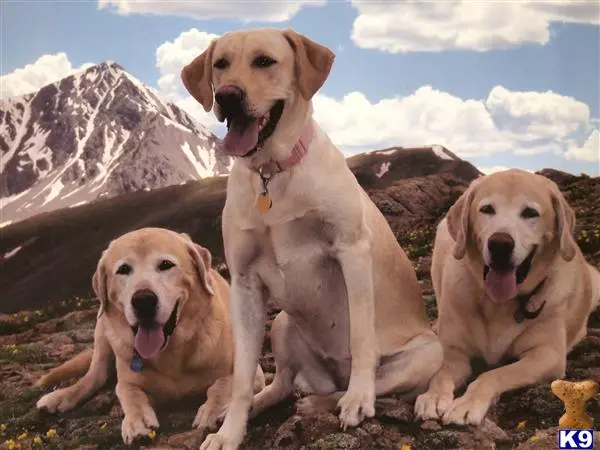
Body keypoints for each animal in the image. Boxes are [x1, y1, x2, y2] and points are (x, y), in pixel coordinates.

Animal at [34, 227, 264, 444]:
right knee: (94, 376)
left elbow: (222, 384)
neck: (171, 354)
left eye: (166, 264)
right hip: (102, 329)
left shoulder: (251, 372)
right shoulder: (126, 380)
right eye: (124, 269)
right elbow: (130, 394)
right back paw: (60, 396)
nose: (143, 300)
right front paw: (137, 421)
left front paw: (213, 410)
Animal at [180, 28, 442, 450]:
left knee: (350, 388)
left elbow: (362, 338)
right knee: (284, 384)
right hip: (283, 324)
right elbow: (242, 376)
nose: (227, 96)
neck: (272, 172)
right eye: (220, 64)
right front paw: (229, 430)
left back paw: (331, 400)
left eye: (264, 61)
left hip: (427, 353)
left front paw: (359, 399)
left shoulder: (351, 250)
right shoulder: (244, 283)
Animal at [412, 169, 600, 426]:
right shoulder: (454, 352)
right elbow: (441, 374)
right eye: (487, 209)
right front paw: (433, 397)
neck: (497, 305)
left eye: (530, 213)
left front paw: (468, 403)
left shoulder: (547, 356)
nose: (500, 244)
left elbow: (495, 373)